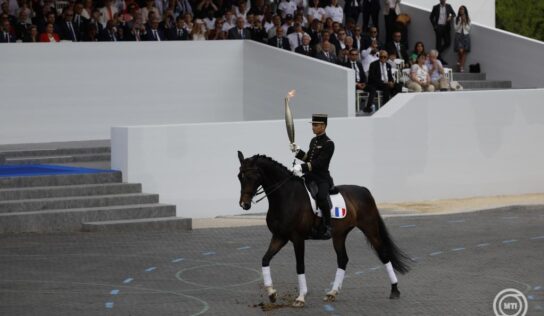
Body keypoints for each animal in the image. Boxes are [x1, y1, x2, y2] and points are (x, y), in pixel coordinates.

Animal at [236, 152, 410, 308]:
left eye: (251, 176)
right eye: (239, 176)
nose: (244, 204)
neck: (286, 196)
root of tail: (363, 190)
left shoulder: (297, 239)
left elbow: (300, 266)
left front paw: (300, 298)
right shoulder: (279, 237)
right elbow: (265, 260)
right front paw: (272, 293)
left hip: (370, 228)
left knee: (384, 254)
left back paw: (395, 290)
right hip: (339, 235)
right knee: (343, 259)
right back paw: (332, 293)